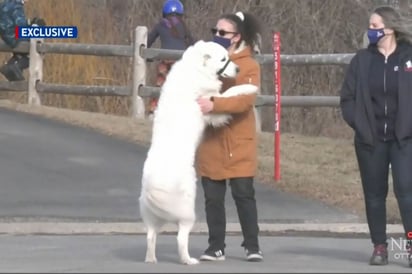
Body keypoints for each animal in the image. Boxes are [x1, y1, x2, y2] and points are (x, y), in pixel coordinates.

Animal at [140, 40, 260, 266]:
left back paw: (151, 259)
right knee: (180, 238)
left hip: (152, 217)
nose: (238, 70)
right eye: (223, 59)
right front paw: (250, 87)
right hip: (187, 210)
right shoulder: (212, 107)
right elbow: (230, 94)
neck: (194, 68)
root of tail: (154, 186)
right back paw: (189, 260)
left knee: (150, 236)